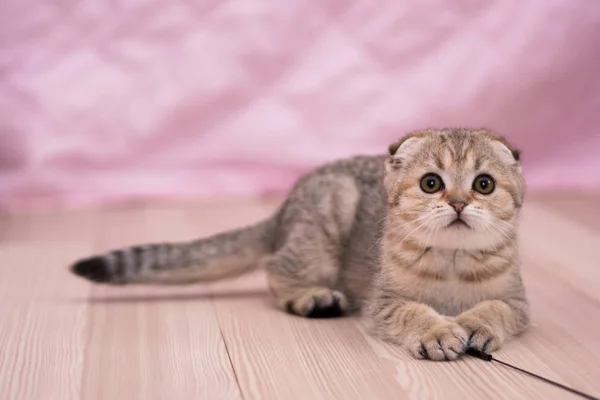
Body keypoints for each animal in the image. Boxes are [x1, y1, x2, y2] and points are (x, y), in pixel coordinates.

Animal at [71, 129, 528, 362]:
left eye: (483, 185)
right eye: (431, 183)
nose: (458, 203)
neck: (452, 258)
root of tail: (286, 206)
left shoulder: (518, 302)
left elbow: (496, 308)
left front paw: (476, 324)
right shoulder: (383, 301)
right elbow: (411, 311)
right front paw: (438, 330)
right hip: (324, 226)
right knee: (276, 269)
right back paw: (313, 297)